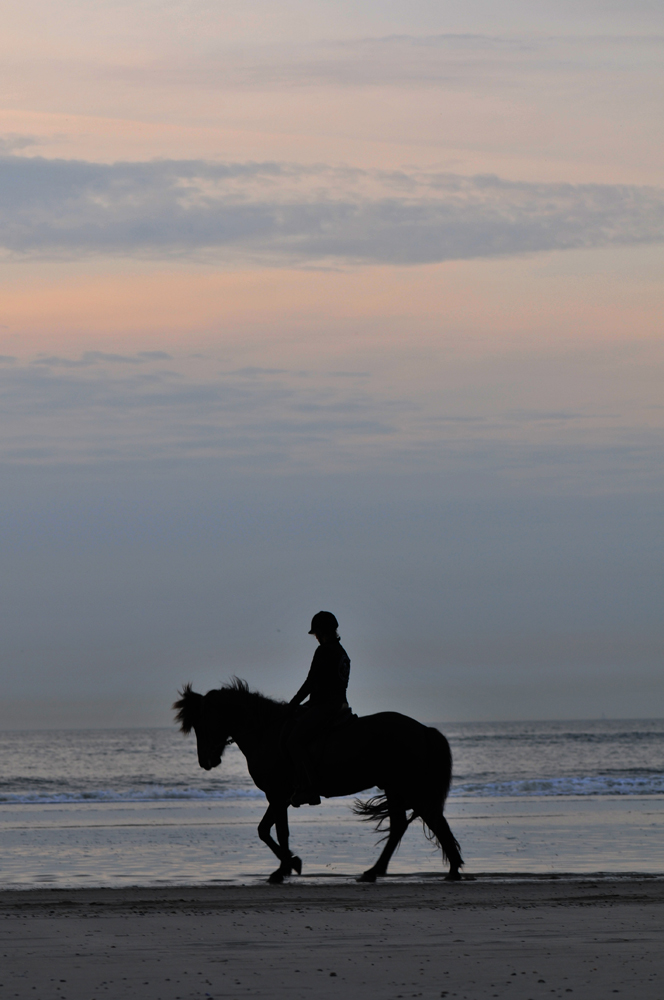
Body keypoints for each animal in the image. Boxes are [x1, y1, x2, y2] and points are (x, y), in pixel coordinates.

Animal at [174, 680, 464, 884]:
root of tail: (424, 730)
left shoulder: (276, 795)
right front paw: (289, 864)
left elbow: (274, 831)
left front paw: (286, 867)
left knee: (427, 820)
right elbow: (269, 830)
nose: (206, 761)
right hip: (396, 788)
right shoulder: (280, 797)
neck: (265, 733)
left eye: (201, 723)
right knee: (408, 824)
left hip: (405, 786)